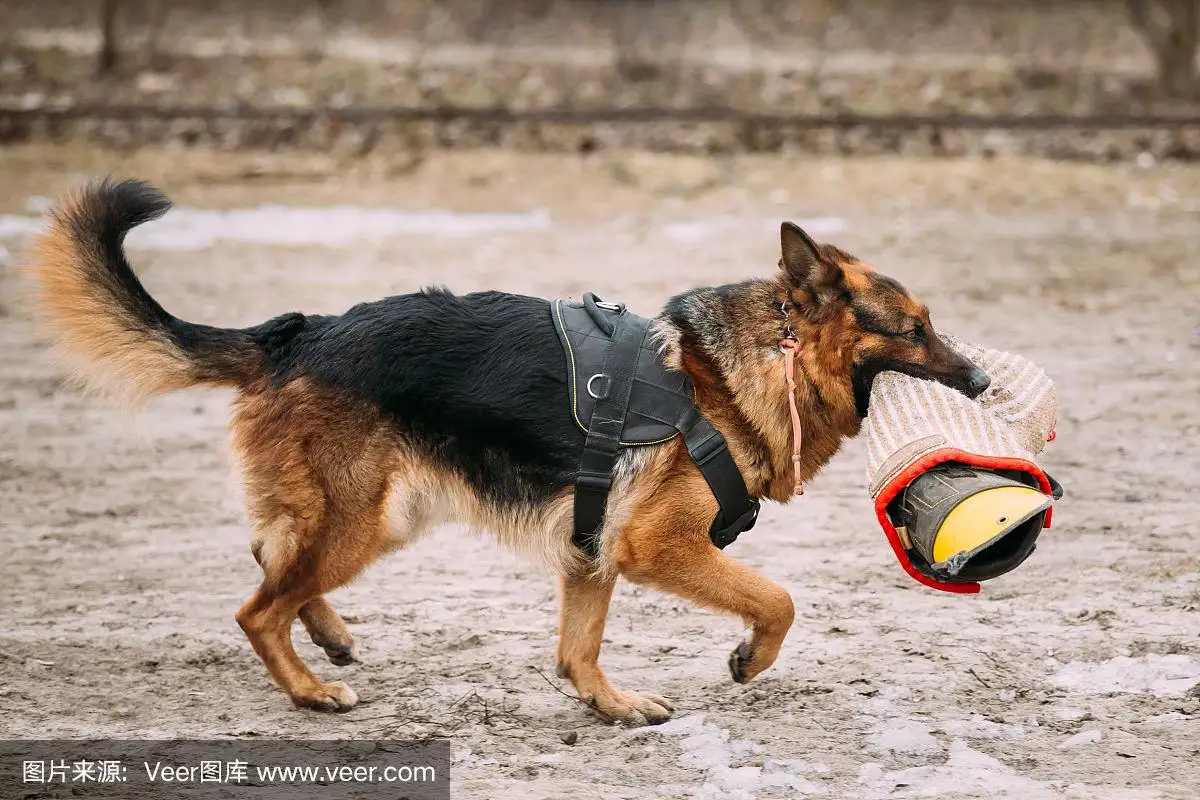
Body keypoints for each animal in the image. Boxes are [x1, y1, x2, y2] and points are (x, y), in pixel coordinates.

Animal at [23, 179, 988, 724]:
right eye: (914, 331)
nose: (980, 379)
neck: (749, 360)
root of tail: (300, 332)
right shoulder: (656, 546)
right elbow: (778, 600)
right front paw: (750, 660)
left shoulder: (592, 551)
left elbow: (577, 651)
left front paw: (609, 705)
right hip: (365, 520)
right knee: (257, 606)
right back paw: (309, 691)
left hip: (371, 517)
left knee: (273, 560)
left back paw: (327, 635)